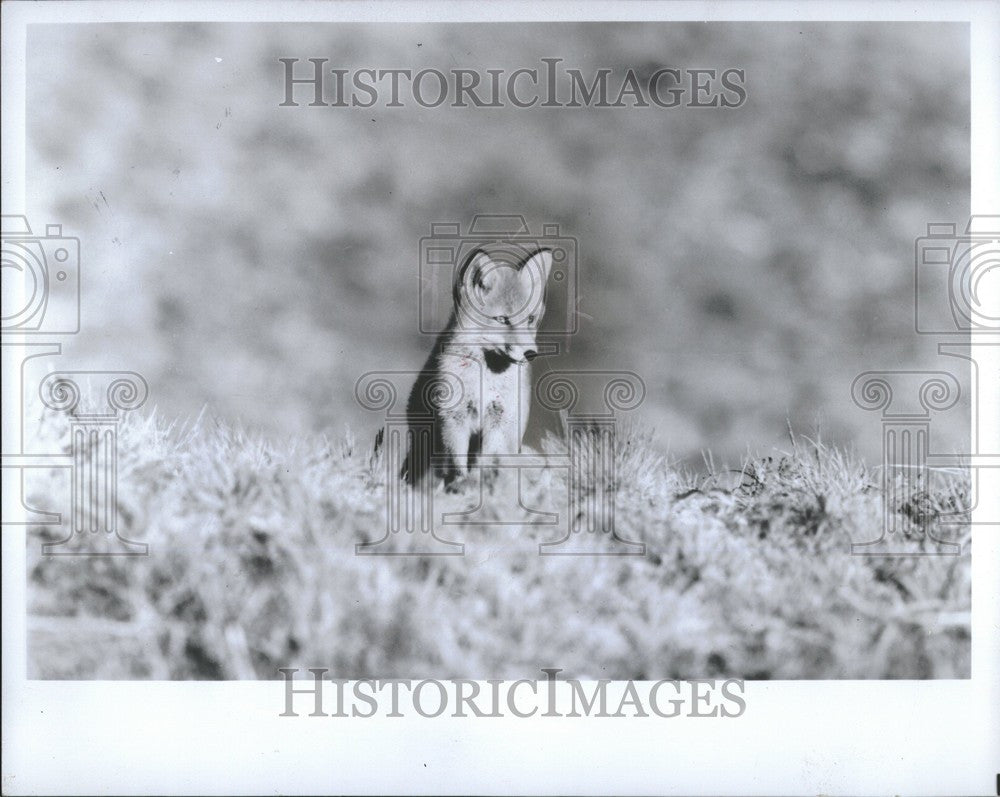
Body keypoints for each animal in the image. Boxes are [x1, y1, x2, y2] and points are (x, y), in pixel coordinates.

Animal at [400, 246, 556, 488]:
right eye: (502, 319)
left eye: (530, 320)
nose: (531, 354)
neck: (487, 378)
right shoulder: (453, 418)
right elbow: (457, 463)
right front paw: (462, 485)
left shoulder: (501, 420)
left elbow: (486, 462)